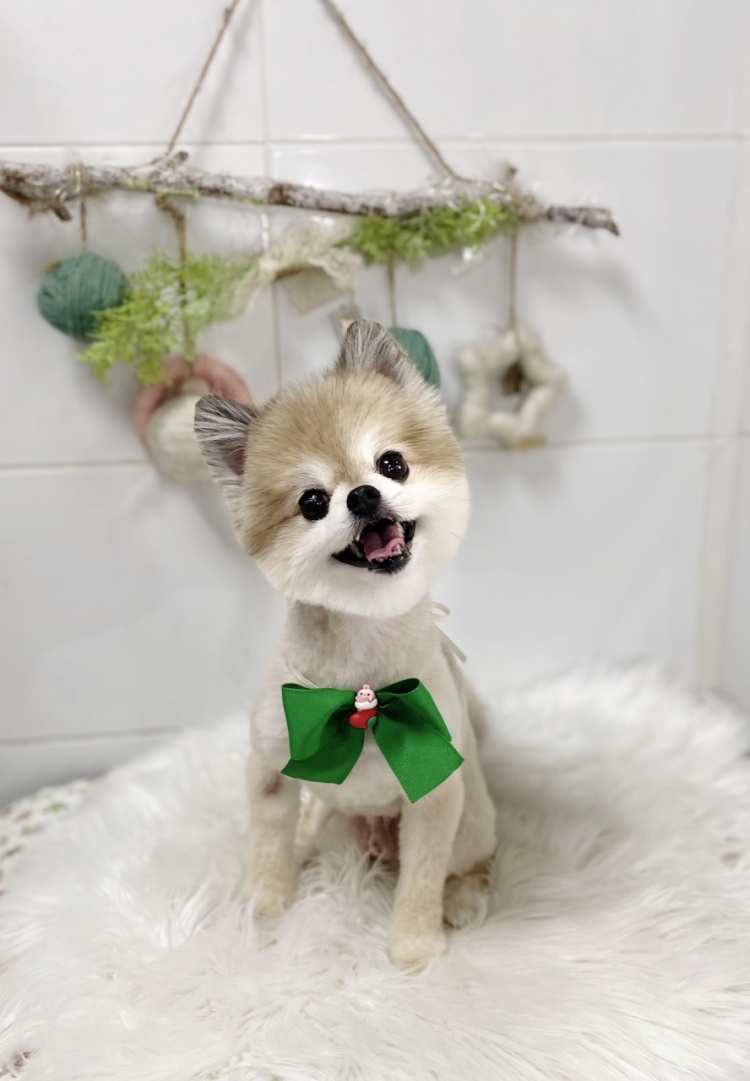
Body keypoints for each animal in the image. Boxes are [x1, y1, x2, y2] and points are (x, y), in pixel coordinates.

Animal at [195, 319, 496, 969]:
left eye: (392, 463)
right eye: (312, 502)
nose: (362, 495)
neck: (361, 676)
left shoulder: (437, 793)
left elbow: (422, 877)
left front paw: (414, 946)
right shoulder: (269, 767)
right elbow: (267, 844)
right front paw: (262, 905)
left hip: (476, 819)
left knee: (473, 862)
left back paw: (462, 899)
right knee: (313, 823)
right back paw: (308, 846)